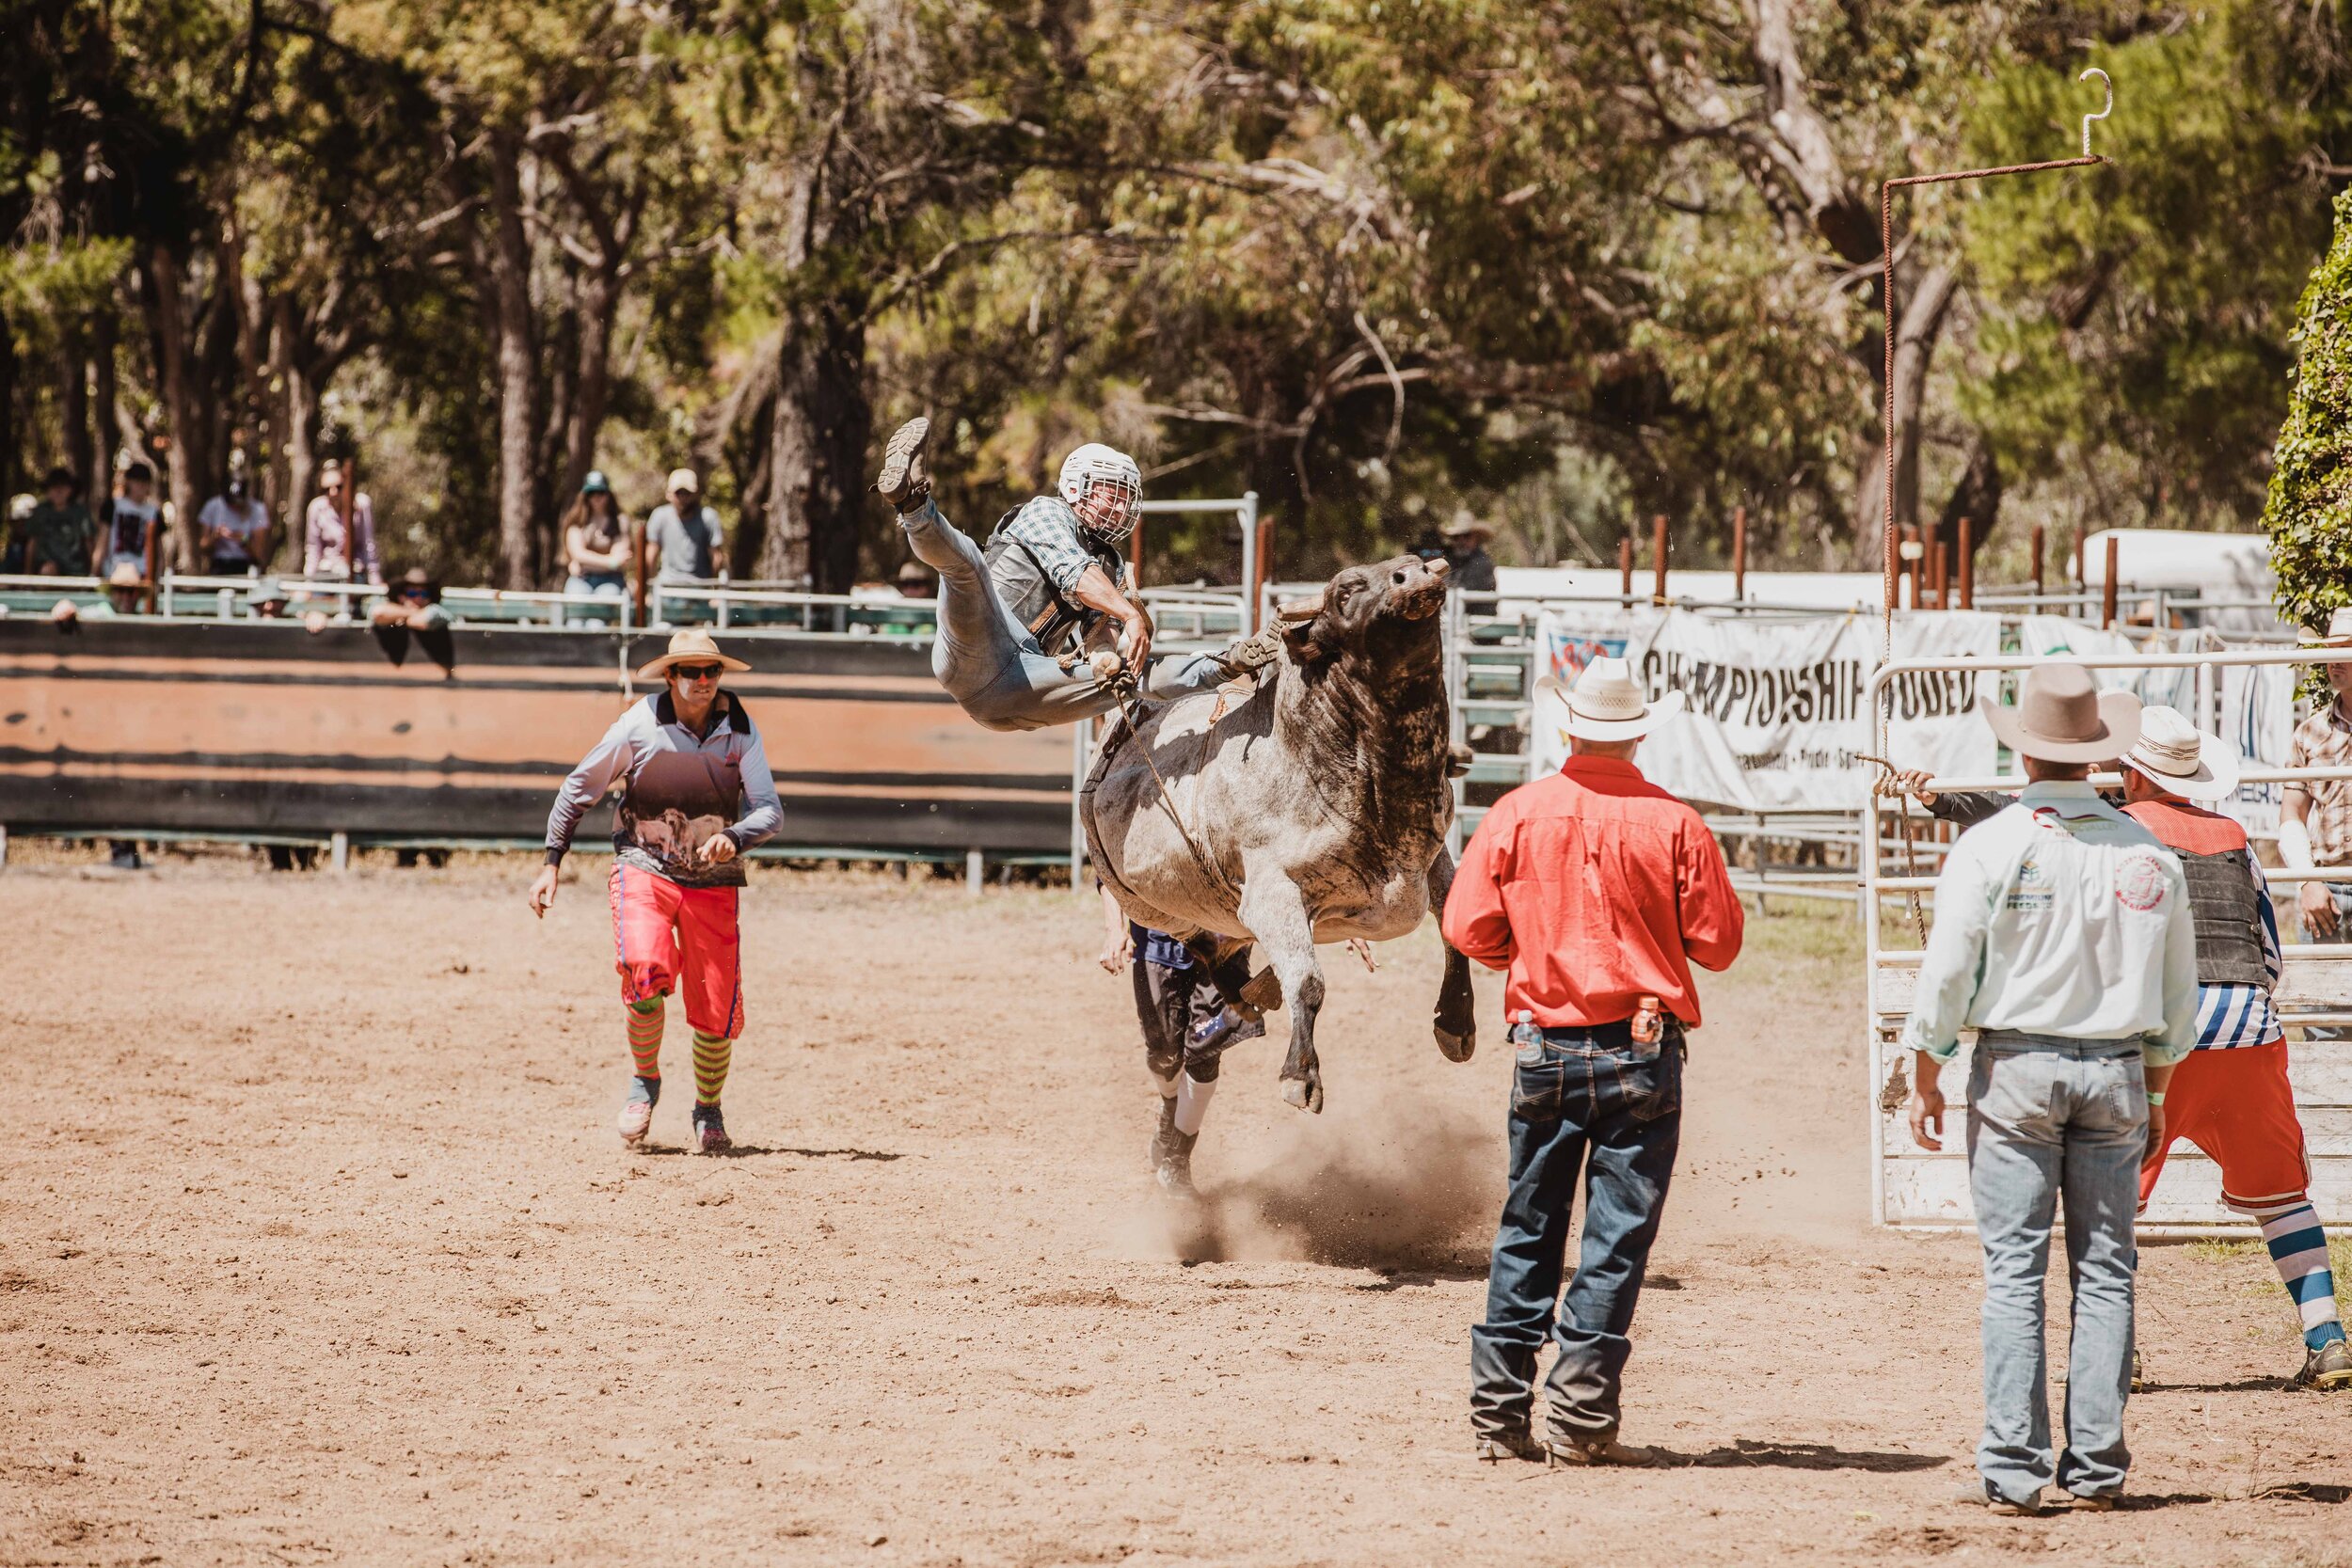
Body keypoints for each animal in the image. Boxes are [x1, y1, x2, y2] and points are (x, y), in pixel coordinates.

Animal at [1077, 552, 1468, 1114]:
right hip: (1150, 905)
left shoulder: (1434, 858)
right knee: (1202, 950)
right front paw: (1300, 1076)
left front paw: (1456, 1024)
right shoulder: (1272, 894)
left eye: (1415, 561)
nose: (1415, 576)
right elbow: (1308, 982)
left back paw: (1249, 994)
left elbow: (1457, 930)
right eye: (1345, 591)